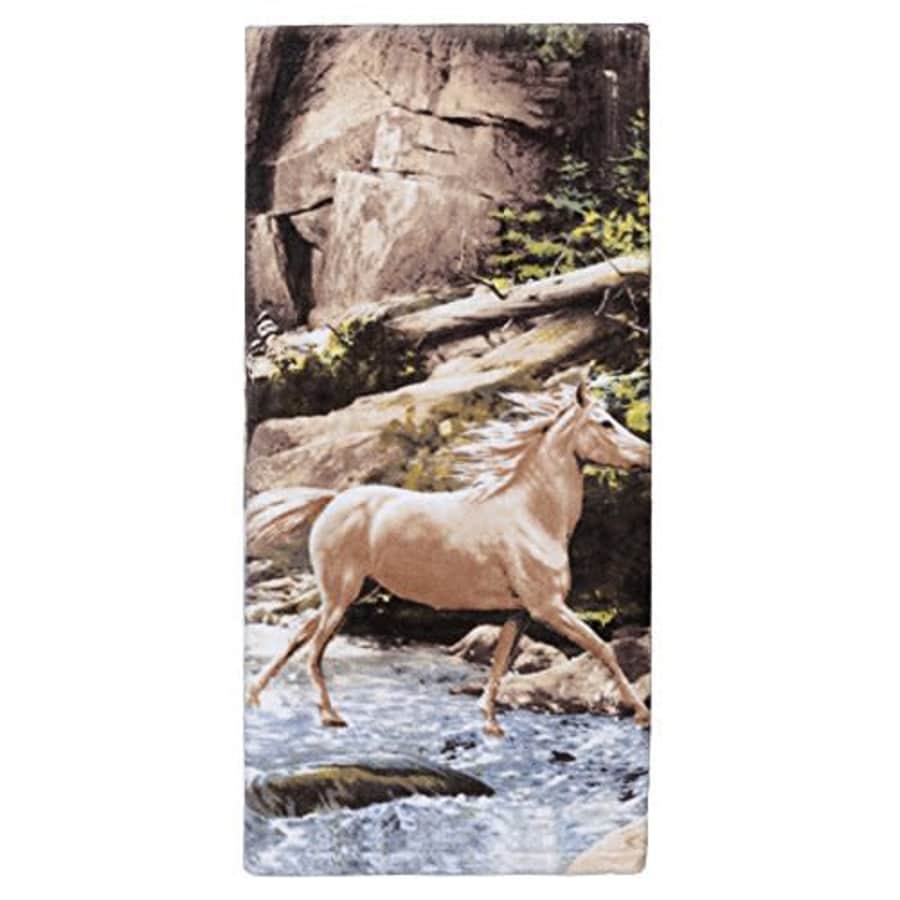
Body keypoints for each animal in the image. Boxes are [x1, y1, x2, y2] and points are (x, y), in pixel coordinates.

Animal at [245, 380, 651, 736]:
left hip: (348, 594)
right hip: (341, 596)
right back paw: (330, 716)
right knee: (314, 652)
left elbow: (500, 663)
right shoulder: (548, 608)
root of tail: (333, 500)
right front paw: (642, 715)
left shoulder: (520, 613)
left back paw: (255, 695)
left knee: (298, 636)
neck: (532, 514)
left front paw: (490, 723)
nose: (648, 455)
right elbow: (603, 649)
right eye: (605, 423)